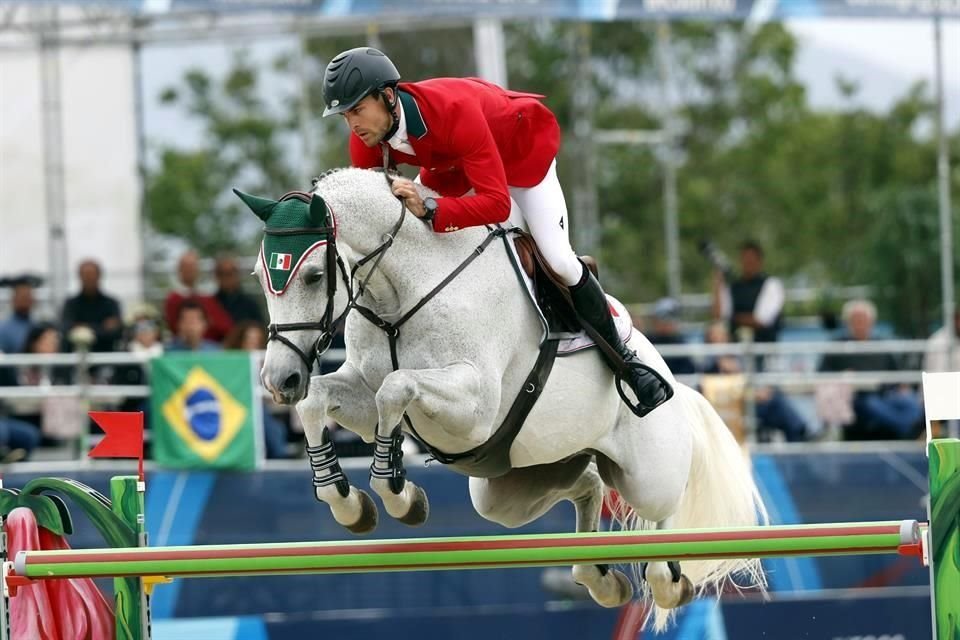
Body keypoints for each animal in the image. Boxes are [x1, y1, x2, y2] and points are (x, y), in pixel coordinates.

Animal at [240, 166, 764, 632]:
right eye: (260, 275)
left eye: (311, 276)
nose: (280, 379)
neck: (402, 291)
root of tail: (675, 380)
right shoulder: (365, 393)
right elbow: (321, 402)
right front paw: (348, 501)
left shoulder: (474, 406)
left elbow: (398, 387)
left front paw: (396, 493)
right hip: (512, 486)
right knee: (588, 485)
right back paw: (599, 577)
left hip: (648, 473)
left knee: (663, 516)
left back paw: (666, 577)